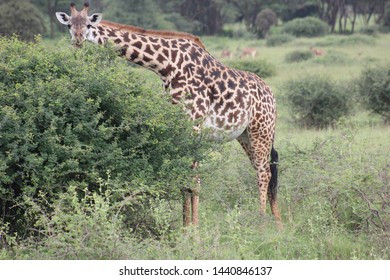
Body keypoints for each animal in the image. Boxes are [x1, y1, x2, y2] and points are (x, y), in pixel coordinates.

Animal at [56, 2, 282, 229]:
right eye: (69, 25)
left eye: (88, 25)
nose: (77, 40)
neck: (166, 66)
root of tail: (271, 94)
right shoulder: (179, 125)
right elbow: (182, 180)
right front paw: (185, 228)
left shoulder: (195, 125)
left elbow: (194, 180)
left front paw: (195, 230)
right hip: (245, 135)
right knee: (266, 169)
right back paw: (278, 222)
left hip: (261, 130)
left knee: (264, 172)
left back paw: (262, 222)